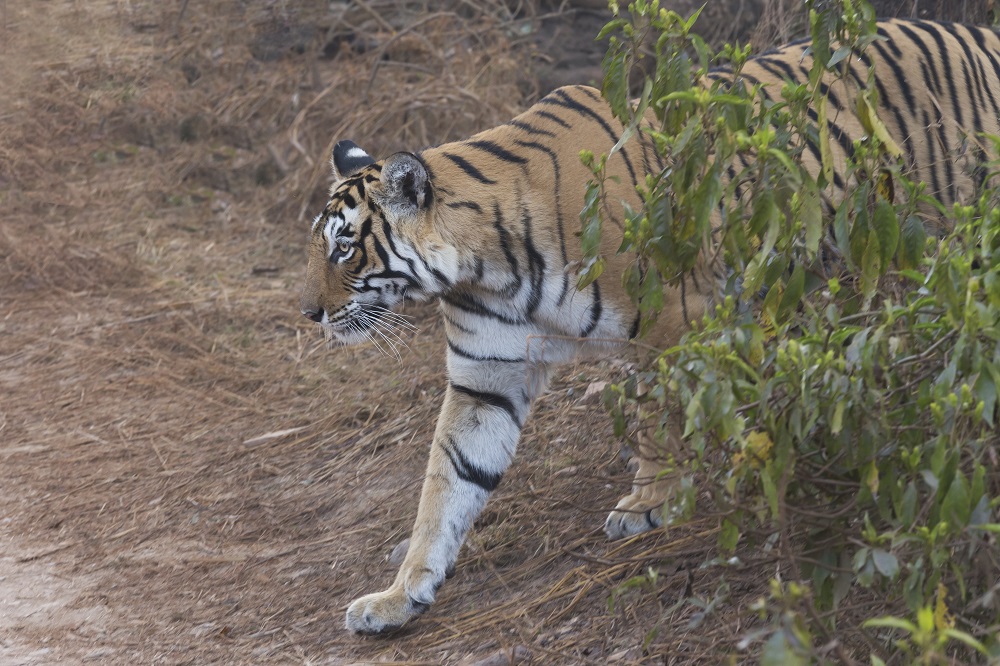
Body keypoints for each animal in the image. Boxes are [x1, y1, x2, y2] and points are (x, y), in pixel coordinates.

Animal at [296, 16, 1000, 632]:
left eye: (343, 247)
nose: (308, 312)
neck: (482, 266)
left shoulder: (672, 320)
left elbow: (659, 421)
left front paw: (649, 505)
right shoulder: (485, 379)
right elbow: (446, 487)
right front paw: (399, 597)